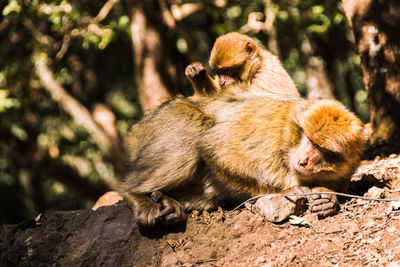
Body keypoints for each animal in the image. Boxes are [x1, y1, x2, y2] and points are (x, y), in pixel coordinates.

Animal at [120, 87, 368, 229]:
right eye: (308, 139)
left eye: (321, 149)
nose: (304, 160)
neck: (288, 138)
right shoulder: (267, 131)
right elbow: (212, 147)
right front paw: (287, 191)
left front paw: (328, 198)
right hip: (161, 122)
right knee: (195, 128)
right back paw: (135, 193)